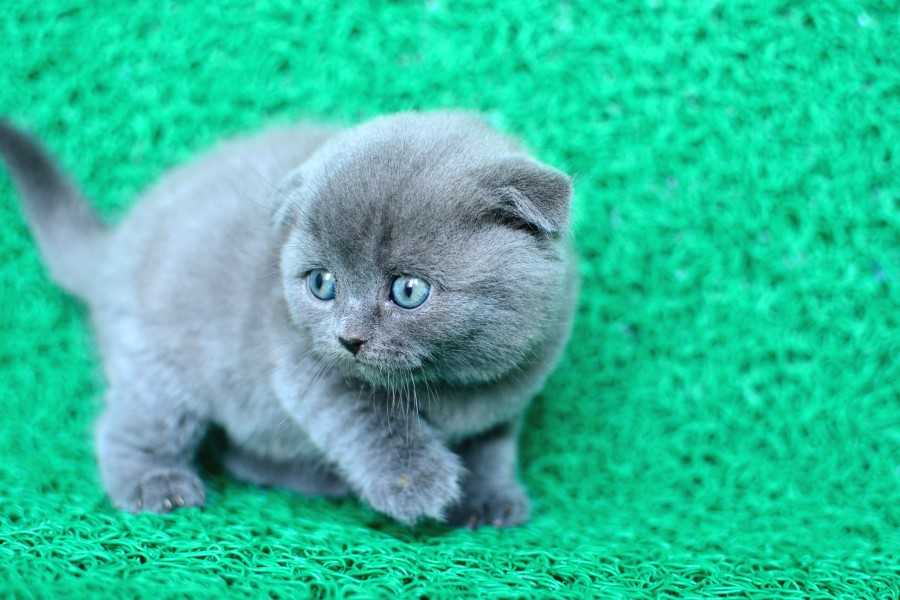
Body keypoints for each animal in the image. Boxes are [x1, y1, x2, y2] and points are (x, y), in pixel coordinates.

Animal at [0, 111, 576, 524]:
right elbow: (371, 420)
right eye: (322, 284)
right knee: (130, 423)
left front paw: (491, 499)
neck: (453, 386)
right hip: (157, 362)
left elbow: (492, 448)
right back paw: (155, 484)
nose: (348, 339)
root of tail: (116, 247)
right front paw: (417, 483)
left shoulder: (509, 395)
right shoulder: (307, 367)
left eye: (408, 291)